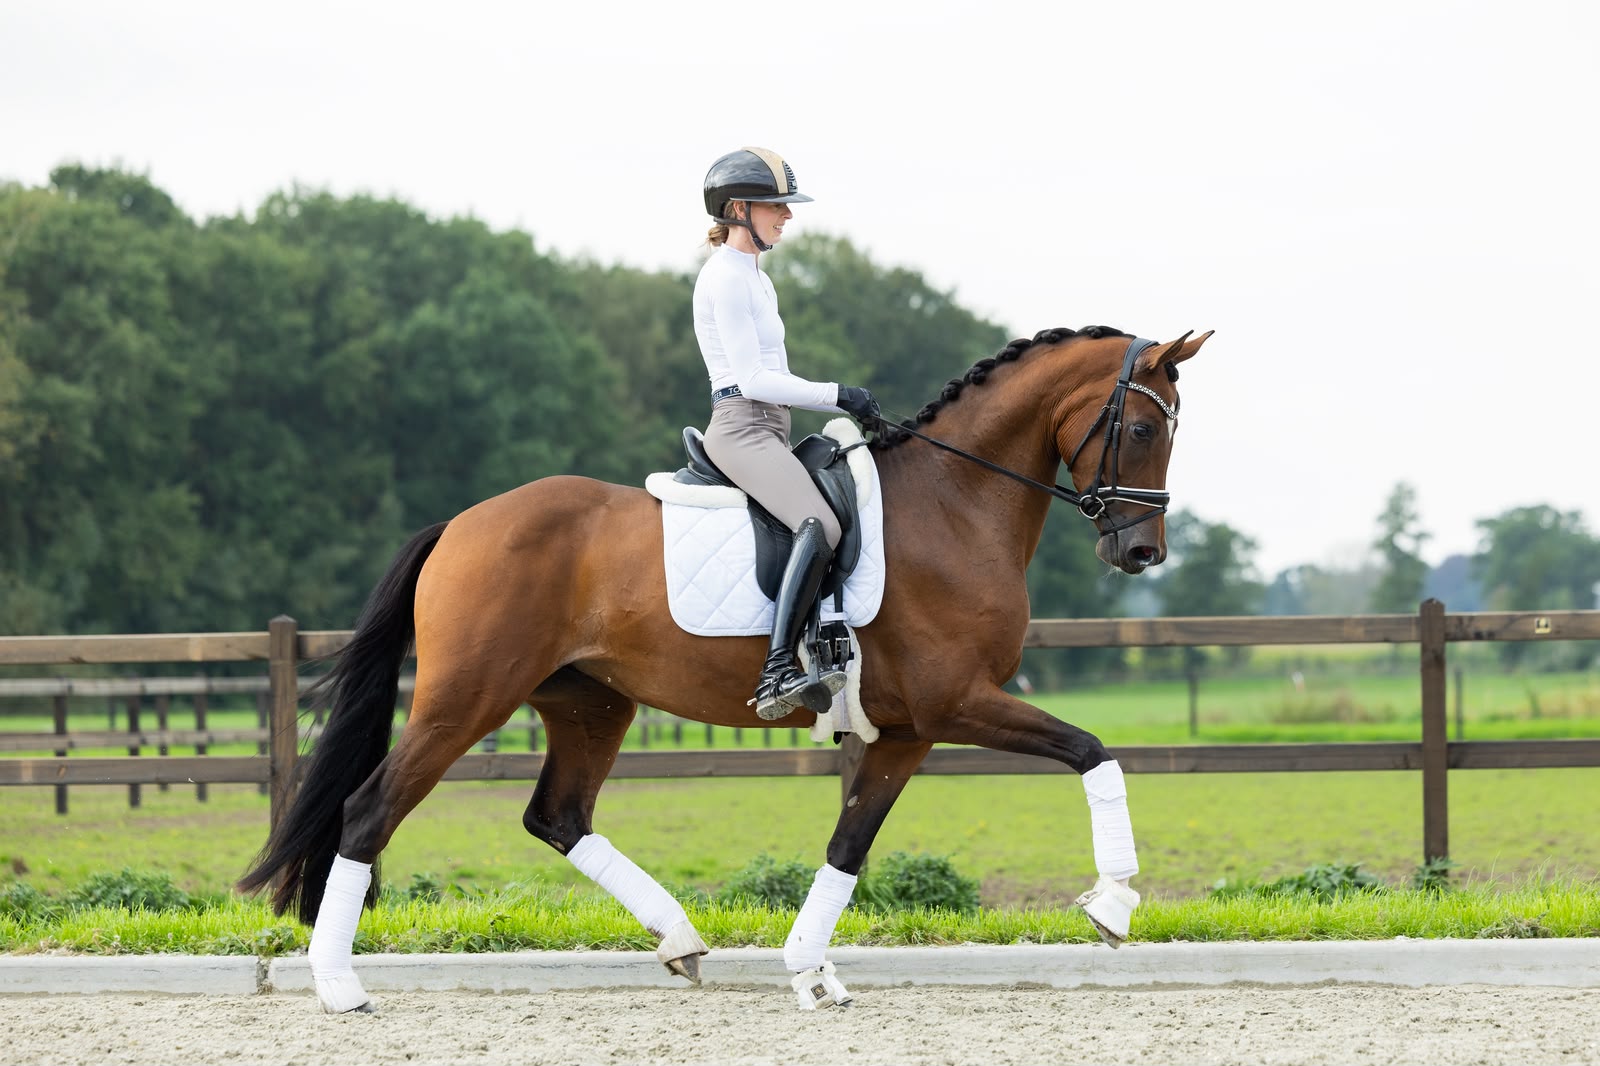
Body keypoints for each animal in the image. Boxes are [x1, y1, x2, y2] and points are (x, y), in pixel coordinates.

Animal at [239, 323, 1210, 1013]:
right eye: (1137, 426)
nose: (1142, 552)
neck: (954, 503)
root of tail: (461, 525)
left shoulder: (904, 730)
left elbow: (849, 845)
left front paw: (810, 972)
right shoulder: (960, 703)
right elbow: (1094, 752)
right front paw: (1113, 905)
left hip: (591, 706)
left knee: (557, 815)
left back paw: (678, 937)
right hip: (465, 700)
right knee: (369, 811)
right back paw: (339, 987)